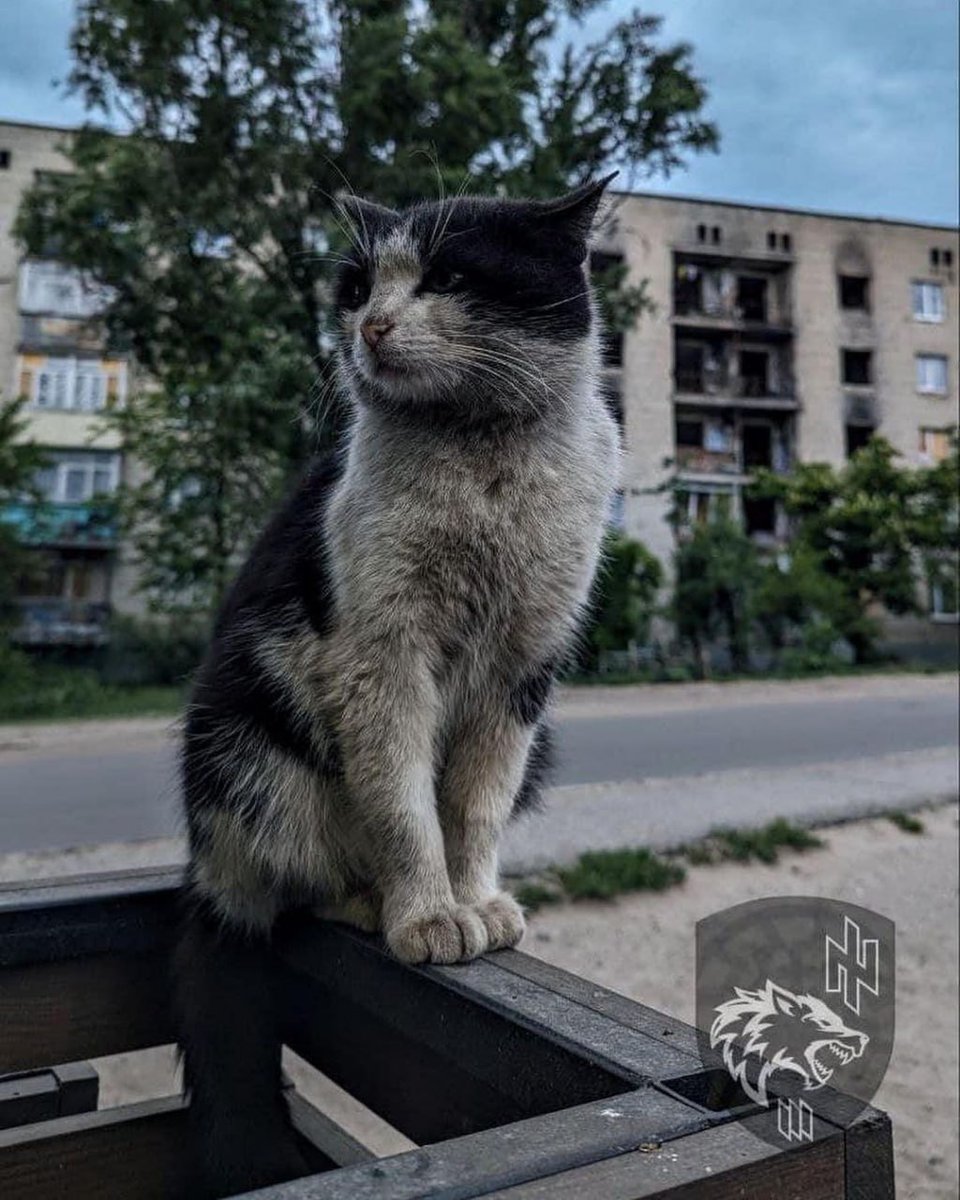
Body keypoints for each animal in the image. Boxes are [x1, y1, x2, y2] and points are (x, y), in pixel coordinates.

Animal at [172, 174, 624, 1195]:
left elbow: (476, 807)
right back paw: (369, 902)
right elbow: (406, 805)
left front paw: (476, 900)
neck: (483, 460)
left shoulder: (523, 672)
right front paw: (427, 913)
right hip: (248, 751)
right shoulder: (383, 661)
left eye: (448, 277)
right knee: (298, 883)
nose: (370, 327)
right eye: (355, 288)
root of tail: (205, 874)